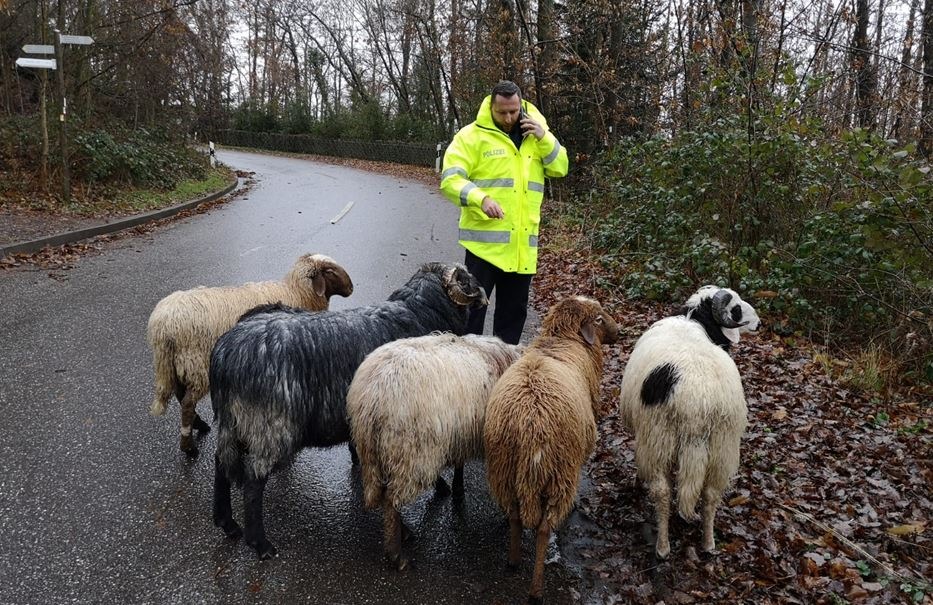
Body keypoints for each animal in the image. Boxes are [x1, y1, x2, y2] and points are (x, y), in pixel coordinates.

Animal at [146, 252, 354, 456]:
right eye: (330, 271)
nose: (351, 288)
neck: (296, 292)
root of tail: (162, 325)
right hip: (196, 362)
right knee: (187, 403)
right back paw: (189, 446)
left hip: (176, 362)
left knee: (180, 395)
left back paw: (200, 425)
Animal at [210, 262, 488, 560]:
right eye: (467, 278)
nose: (482, 294)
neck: (420, 313)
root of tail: (226, 353)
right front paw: (438, 490)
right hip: (270, 426)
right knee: (252, 480)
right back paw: (260, 544)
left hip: (234, 423)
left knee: (221, 462)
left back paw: (226, 522)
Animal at [348, 332, 524, 568]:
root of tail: (373, 394)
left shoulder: (460, 432)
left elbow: (459, 463)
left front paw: (458, 489)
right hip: (411, 453)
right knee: (391, 499)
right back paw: (396, 554)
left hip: (373, 452)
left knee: (385, 494)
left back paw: (404, 533)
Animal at [480, 294, 620, 600]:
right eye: (599, 318)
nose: (620, 332)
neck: (561, 339)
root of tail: (530, 425)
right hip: (560, 471)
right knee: (544, 528)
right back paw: (536, 588)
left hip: (504, 469)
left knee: (515, 516)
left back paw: (513, 560)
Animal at [616, 286, 760, 560]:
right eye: (736, 308)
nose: (758, 323)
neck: (694, 320)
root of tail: (699, 402)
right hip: (722, 446)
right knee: (711, 495)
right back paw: (708, 542)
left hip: (658, 437)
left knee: (662, 493)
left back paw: (663, 547)